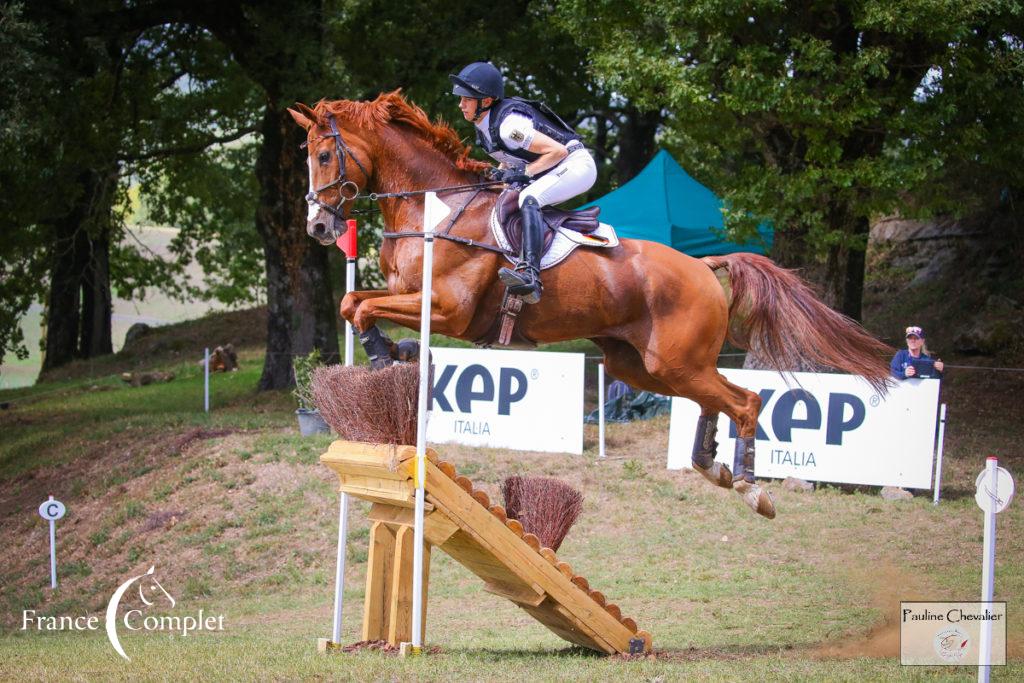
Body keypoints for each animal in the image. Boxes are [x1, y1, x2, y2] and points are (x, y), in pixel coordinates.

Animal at [290, 90, 897, 518]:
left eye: (324, 155)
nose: (318, 226)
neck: (434, 208)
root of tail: (703, 265)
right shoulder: (406, 295)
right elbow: (352, 301)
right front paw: (392, 354)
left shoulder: (447, 309)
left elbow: (362, 309)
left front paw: (384, 355)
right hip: (645, 366)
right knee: (717, 397)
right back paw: (712, 465)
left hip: (674, 362)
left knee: (746, 400)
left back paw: (751, 488)